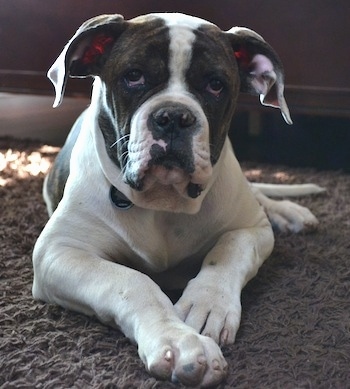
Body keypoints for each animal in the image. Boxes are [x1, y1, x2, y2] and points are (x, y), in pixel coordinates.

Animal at [32, 13, 322, 386]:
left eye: (215, 85)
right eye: (134, 76)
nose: (173, 116)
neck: (163, 203)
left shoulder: (251, 229)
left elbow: (229, 249)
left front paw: (208, 305)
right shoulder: (59, 251)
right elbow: (132, 281)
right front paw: (179, 342)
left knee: (258, 197)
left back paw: (288, 212)